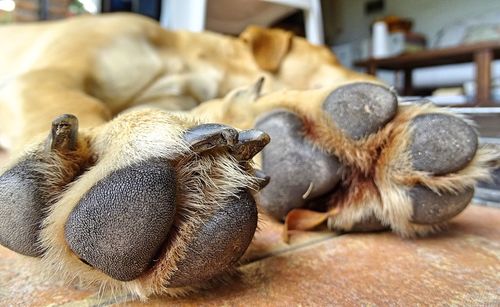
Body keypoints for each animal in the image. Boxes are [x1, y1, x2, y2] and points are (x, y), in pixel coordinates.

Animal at [0, 12, 496, 300]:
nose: (394, 84)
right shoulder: (46, 74)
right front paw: (94, 150)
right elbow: (83, 106)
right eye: (330, 55)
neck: (194, 60)